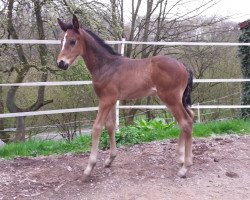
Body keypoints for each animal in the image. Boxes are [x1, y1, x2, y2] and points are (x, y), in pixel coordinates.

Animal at [57, 14, 195, 179]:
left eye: (72, 41)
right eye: (61, 41)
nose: (61, 63)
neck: (106, 66)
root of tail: (184, 67)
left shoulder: (106, 100)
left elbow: (97, 127)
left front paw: (89, 167)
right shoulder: (111, 100)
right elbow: (110, 126)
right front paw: (110, 159)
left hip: (171, 98)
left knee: (185, 122)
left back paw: (185, 167)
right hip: (178, 100)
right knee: (189, 117)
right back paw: (181, 158)